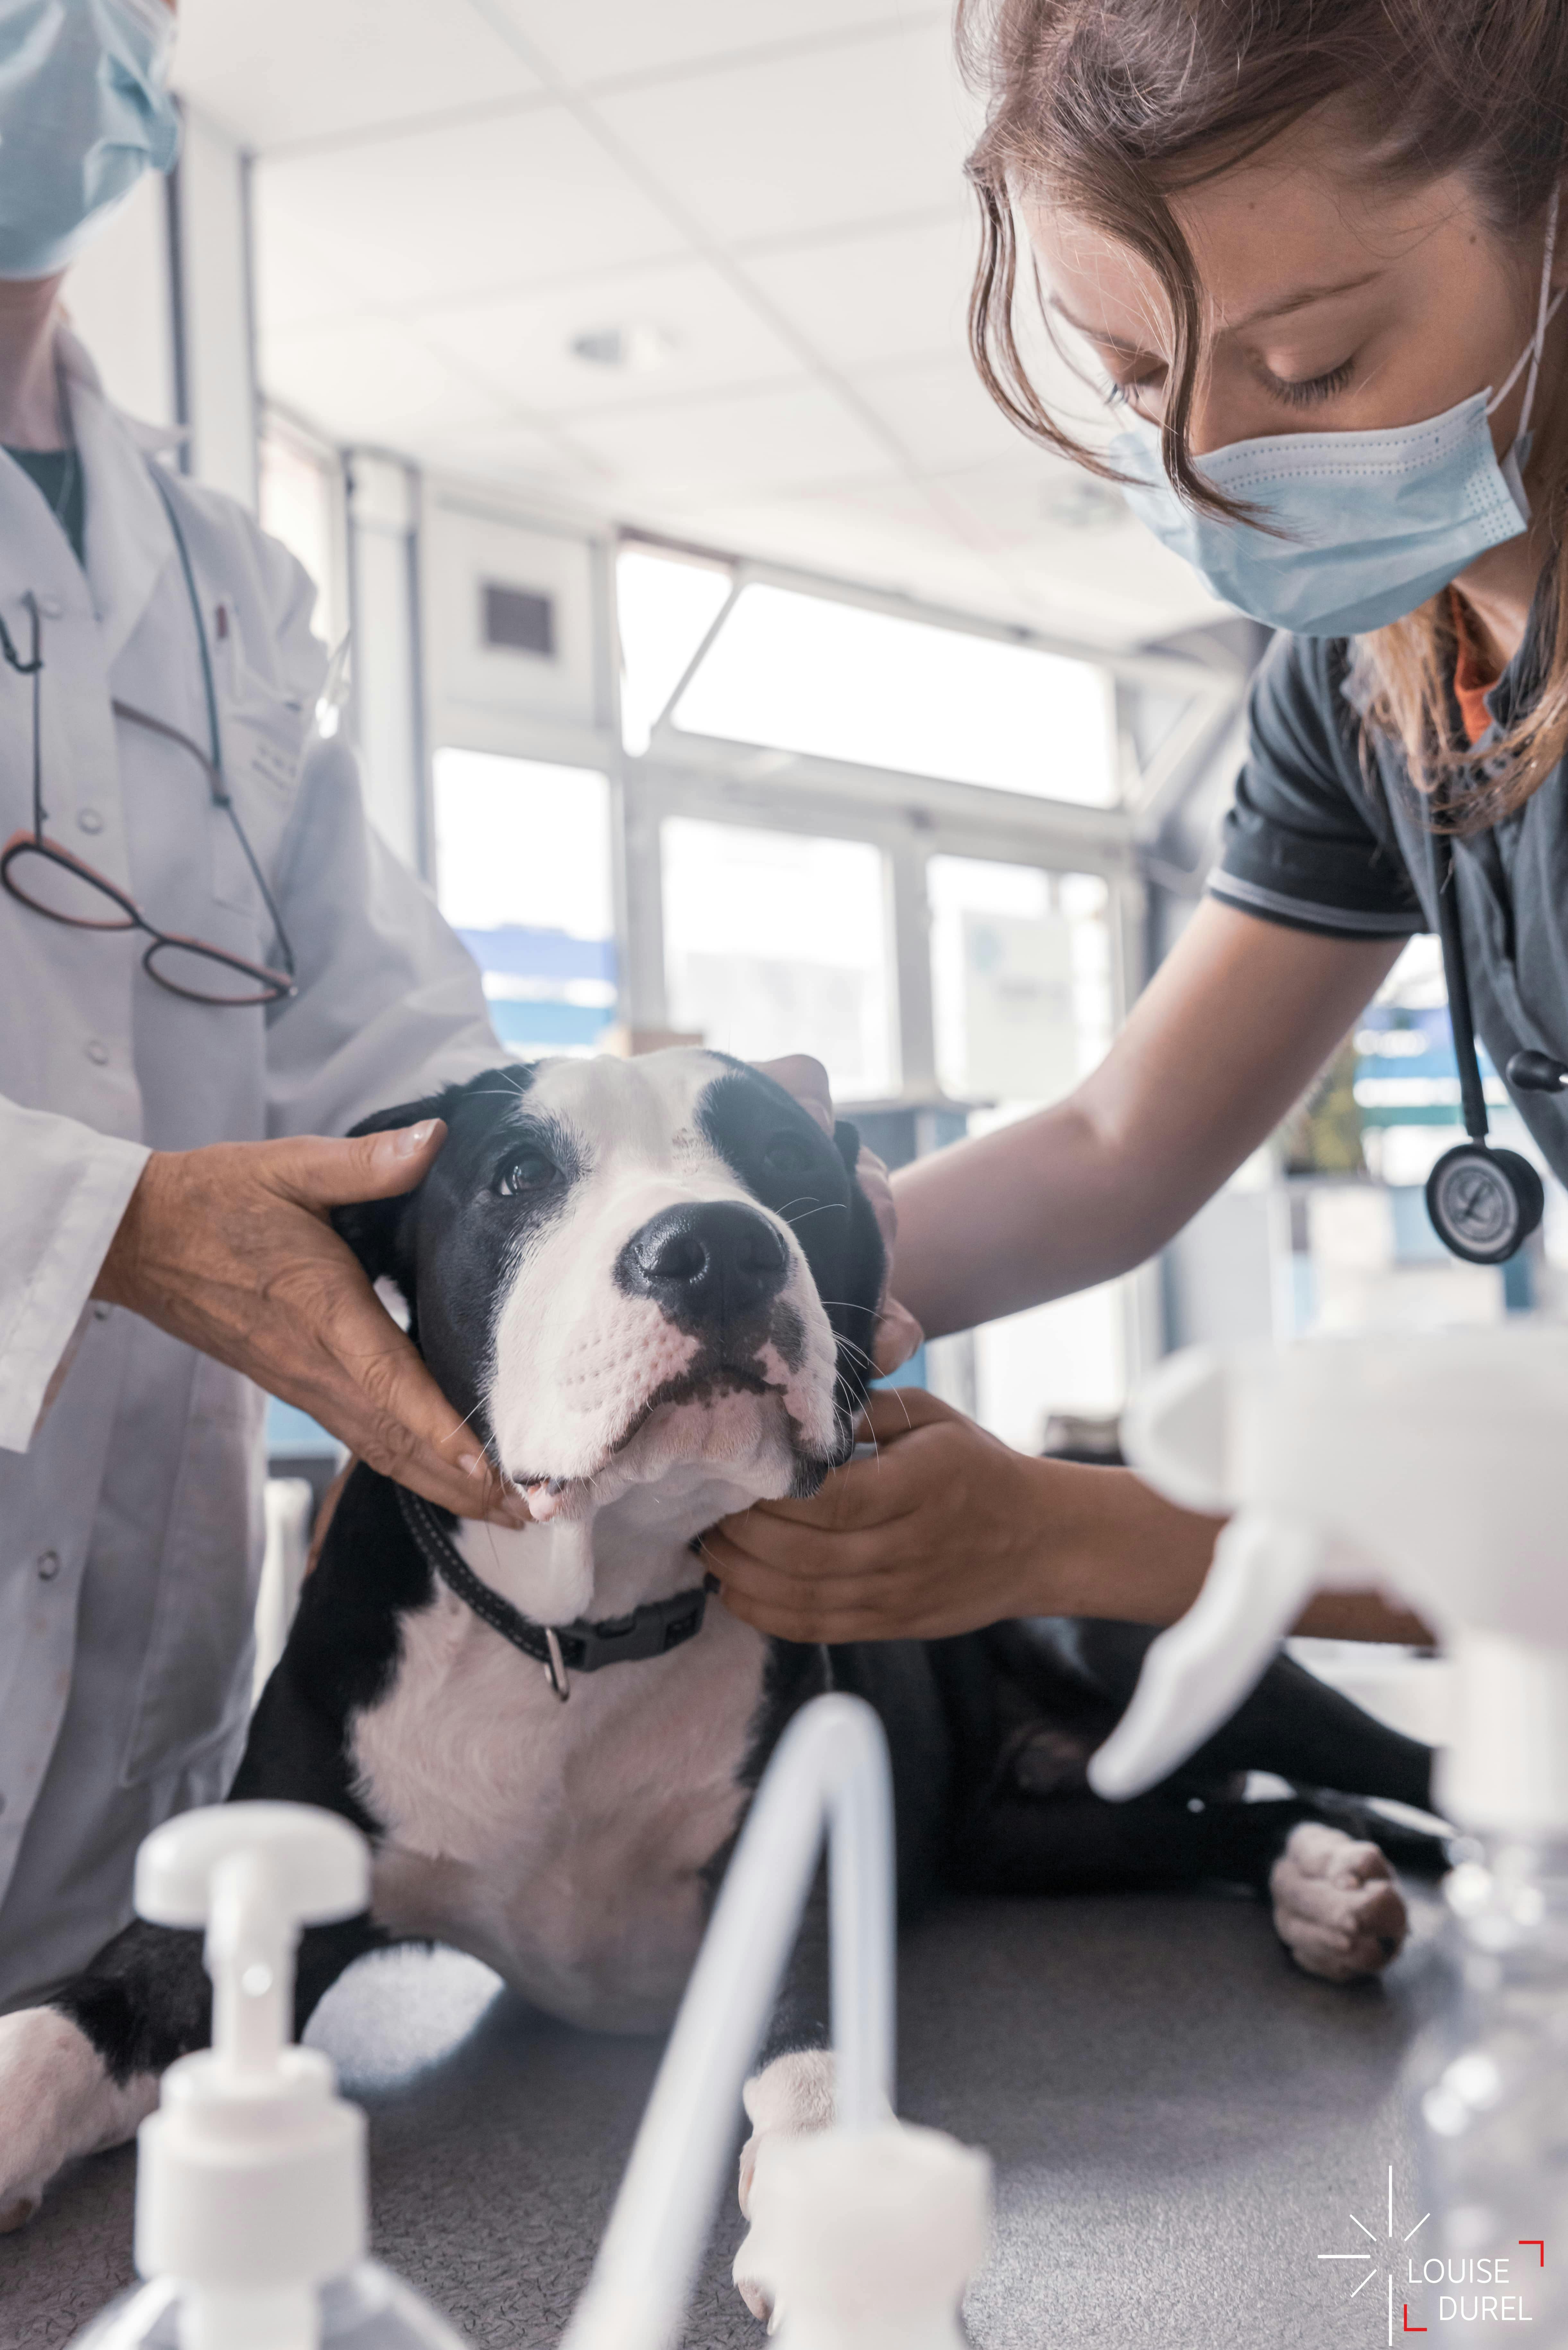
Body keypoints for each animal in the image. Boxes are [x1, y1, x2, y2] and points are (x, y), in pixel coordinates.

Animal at [0, 1058, 1448, 2303]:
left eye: (788, 1161)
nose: (714, 1246)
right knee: (1232, 1818)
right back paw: (1323, 1883)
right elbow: (67, 2032)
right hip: (1033, 1832)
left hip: (1114, 1638)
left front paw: (836, 2225)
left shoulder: (801, 1876)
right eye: (520, 1175)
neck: (581, 1632)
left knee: (1395, 1774)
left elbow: (805, 2065)